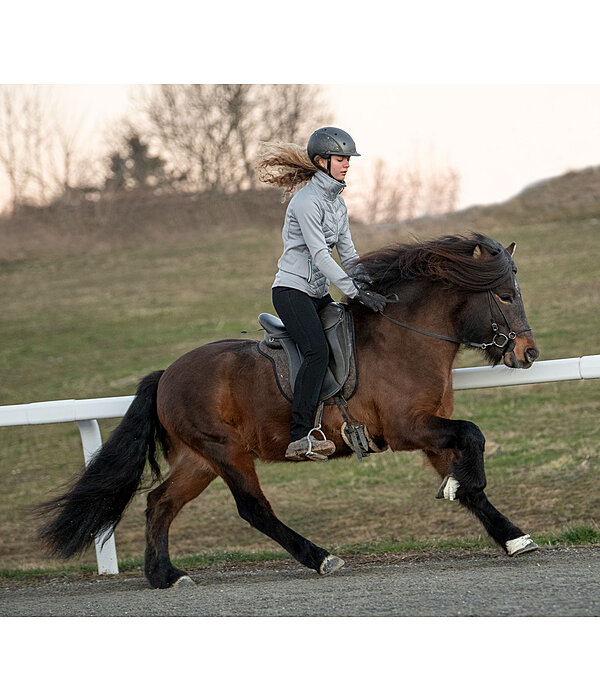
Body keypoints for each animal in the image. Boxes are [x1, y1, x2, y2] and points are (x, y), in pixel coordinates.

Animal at [39, 232, 540, 588]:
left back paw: (164, 576)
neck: (405, 338)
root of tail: (167, 375)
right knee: (253, 509)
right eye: (506, 295)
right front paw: (465, 487)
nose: (529, 353)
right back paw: (319, 557)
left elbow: (470, 475)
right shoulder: (407, 428)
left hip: (199, 459)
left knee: (158, 503)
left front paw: (512, 535)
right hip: (226, 452)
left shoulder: (430, 432)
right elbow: (473, 435)